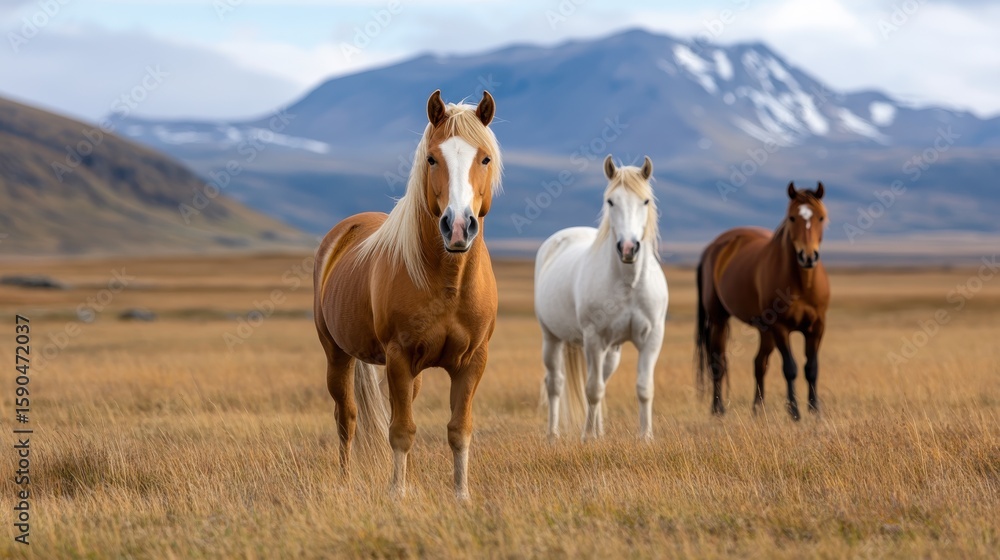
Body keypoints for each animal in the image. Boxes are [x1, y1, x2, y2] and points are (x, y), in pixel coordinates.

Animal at [313, 90, 502, 500]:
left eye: (485, 158)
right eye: (432, 158)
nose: (458, 226)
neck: (448, 282)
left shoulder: (473, 361)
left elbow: (458, 430)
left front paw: (460, 495)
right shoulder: (398, 357)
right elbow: (400, 431)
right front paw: (396, 494)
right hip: (337, 355)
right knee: (346, 418)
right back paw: (345, 482)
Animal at [534, 155, 668, 441]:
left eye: (645, 201)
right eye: (610, 201)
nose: (628, 248)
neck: (629, 284)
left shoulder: (652, 338)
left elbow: (644, 388)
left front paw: (646, 437)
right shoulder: (593, 338)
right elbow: (592, 390)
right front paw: (586, 438)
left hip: (612, 350)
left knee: (601, 380)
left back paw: (600, 432)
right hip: (552, 338)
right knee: (555, 384)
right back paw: (553, 435)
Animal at [695, 182, 830, 420]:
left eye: (821, 217)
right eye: (792, 218)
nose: (808, 257)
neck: (802, 284)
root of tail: (714, 247)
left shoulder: (817, 327)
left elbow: (811, 368)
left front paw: (815, 410)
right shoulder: (781, 328)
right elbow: (790, 368)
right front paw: (794, 412)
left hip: (764, 330)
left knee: (759, 364)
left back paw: (758, 410)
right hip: (719, 320)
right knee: (718, 362)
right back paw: (718, 409)